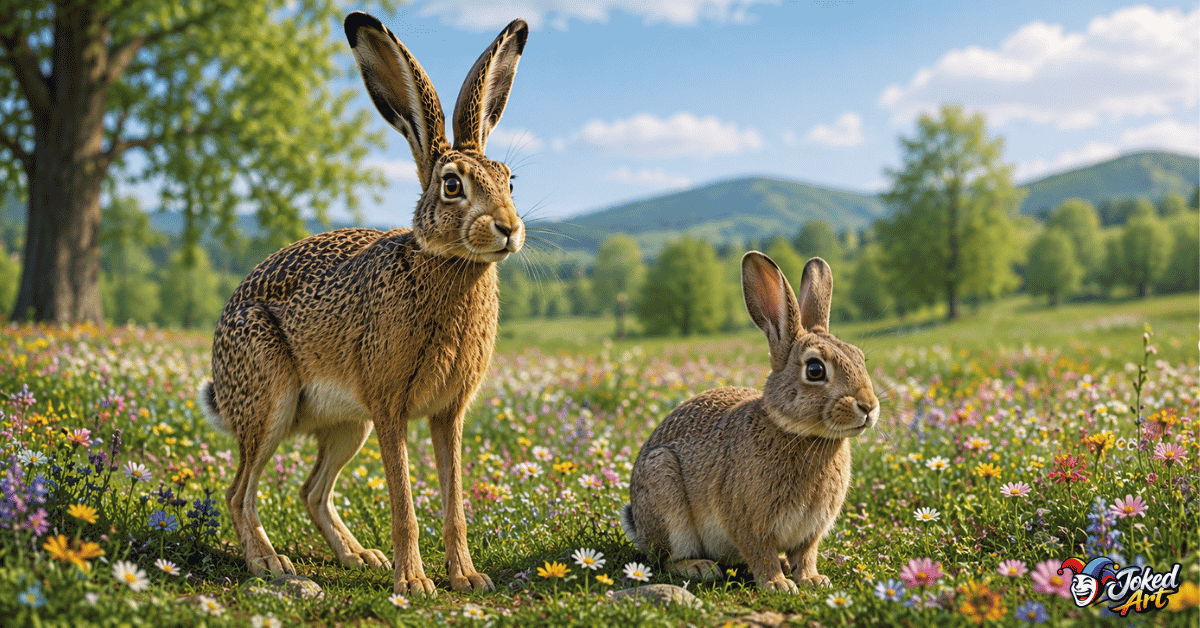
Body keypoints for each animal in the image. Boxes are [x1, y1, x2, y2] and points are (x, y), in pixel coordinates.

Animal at [196, 11, 528, 596]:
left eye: (510, 181)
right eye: (451, 186)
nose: (508, 229)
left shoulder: (447, 413)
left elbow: (454, 504)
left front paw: (468, 579)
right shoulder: (389, 405)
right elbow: (404, 505)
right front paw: (414, 585)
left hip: (349, 426)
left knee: (311, 490)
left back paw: (359, 557)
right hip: (268, 404)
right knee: (239, 491)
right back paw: (270, 564)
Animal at [621, 251, 879, 593]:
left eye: (860, 358)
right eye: (815, 370)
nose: (869, 406)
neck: (797, 432)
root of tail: (637, 523)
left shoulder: (811, 531)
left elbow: (806, 554)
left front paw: (813, 580)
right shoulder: (746, 521)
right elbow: (760, 553)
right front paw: (778, 585)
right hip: (665, 493)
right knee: (664, 558)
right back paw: (700, 568)